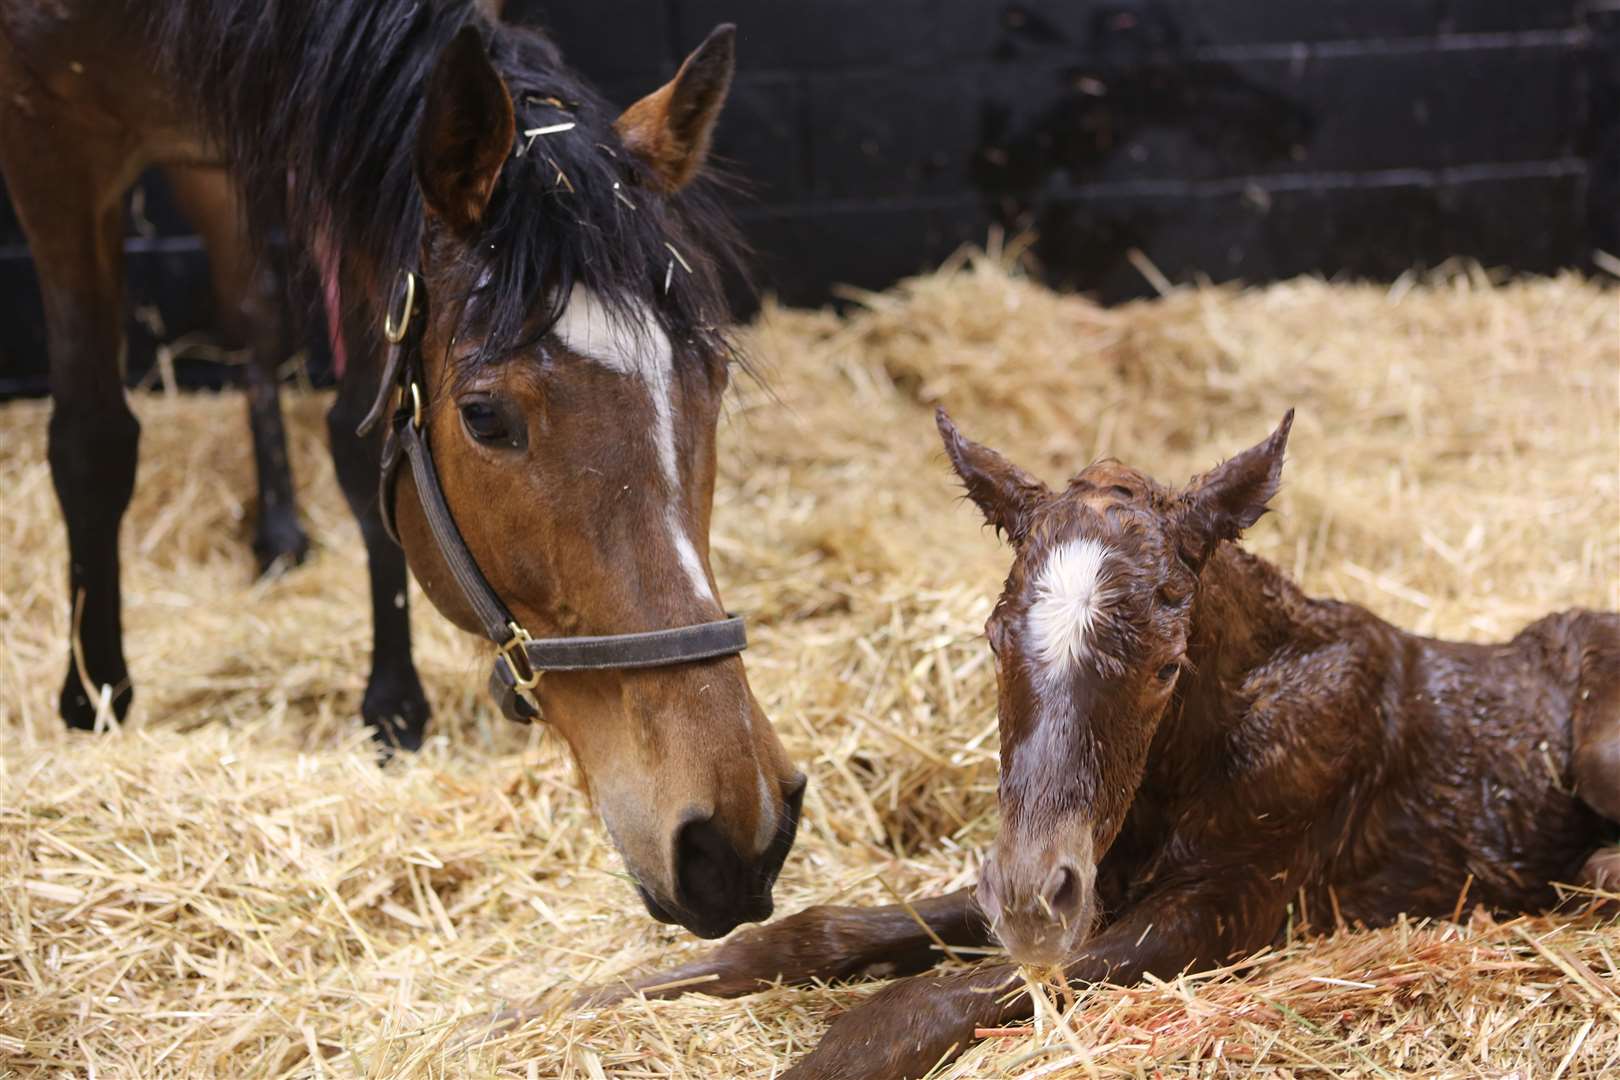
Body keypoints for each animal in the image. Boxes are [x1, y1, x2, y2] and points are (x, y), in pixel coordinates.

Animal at [599, 409, 1620, 1075]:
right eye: (992, 638)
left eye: (1167, 666)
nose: (1029, 901)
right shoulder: (1096, 880)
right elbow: (821, 932)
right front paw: (596, 998)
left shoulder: (1224, 909)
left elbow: (917, 1004)